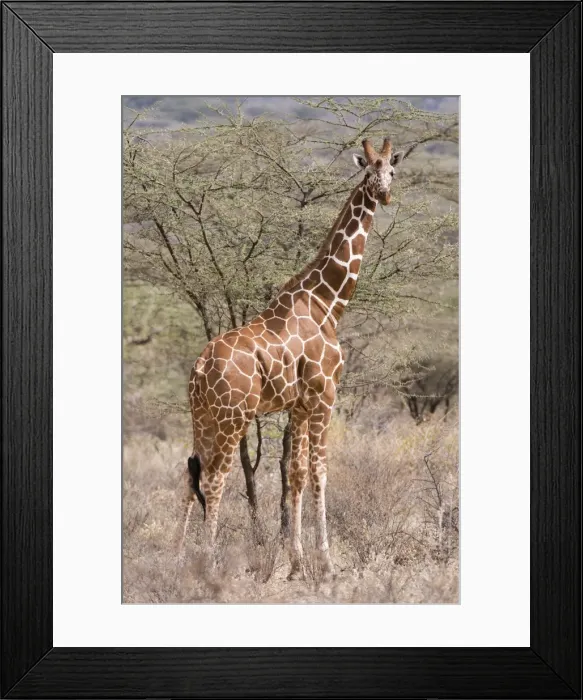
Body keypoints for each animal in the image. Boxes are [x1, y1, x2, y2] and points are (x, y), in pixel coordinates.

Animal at [179, 138, 404, 579]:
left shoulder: (299, 404)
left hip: (205, 418)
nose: (385, 194)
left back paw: (174, 561)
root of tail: (198, 369)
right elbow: (320, 472)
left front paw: (297, 564)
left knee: (188, 475)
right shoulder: (325, 394)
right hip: (233, 417)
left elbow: (296, 475)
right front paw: (327, 563)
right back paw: (208, 566)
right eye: (369, 171)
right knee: (213, 481)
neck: (327, 302)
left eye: (392, 171)